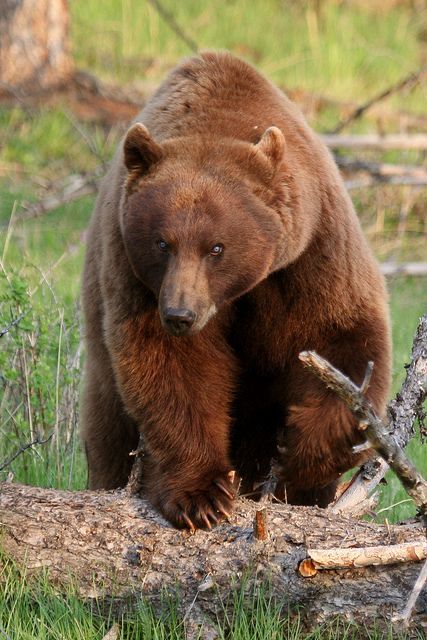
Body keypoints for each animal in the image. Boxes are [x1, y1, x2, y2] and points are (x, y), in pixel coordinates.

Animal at [82, 50, 392, 528]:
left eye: (217, 247)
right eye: (161, 243)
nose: (179, 315)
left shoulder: (312, 252)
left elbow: (342, 341)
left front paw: (299, 468)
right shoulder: (132, 270)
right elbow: (173, 369)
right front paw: (203, 497)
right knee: (111, 431)